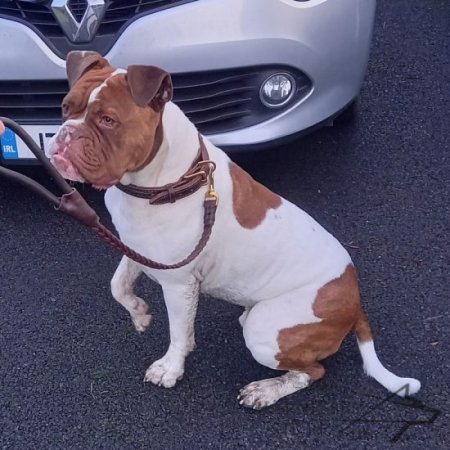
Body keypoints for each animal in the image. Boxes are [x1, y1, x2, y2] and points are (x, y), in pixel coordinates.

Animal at [47, 51, 420, 410]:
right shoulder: (137, 248)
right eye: (66, 107)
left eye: (107, 121)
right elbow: (118, 286)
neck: (162, 180)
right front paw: (139, 313)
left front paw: (170, 368)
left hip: (266, 331)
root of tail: (355, 302)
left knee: (312, 370)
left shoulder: (178, 284)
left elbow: (178, 332)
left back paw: (265, 391)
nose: (66, 134)